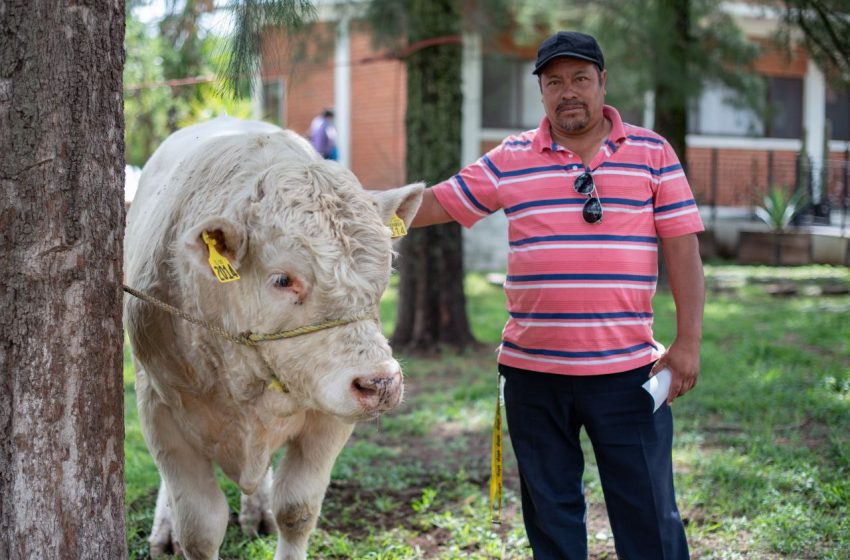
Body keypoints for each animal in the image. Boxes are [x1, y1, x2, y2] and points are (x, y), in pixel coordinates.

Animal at [121, 116, 420, 556]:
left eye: (386, 271)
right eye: (282, 279)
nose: (379, 383)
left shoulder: (328, 419)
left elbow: (297, 510)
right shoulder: (161, 408)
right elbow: (198, 526)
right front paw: (177, 529)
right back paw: (164, 530)